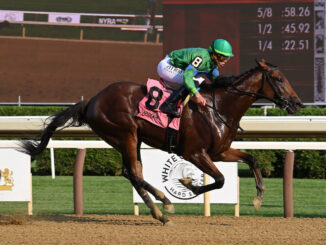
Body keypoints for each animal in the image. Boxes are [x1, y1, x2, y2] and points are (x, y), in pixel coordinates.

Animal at [20, 58, 302, 224]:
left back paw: (160, 209)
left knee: (131, 172)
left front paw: (258, 197)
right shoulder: (195, 153)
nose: (297, 103)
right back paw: (163, 205)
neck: (219, 107)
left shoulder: (220, 151)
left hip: (130, 139)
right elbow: (220, 180)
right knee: (133, 172)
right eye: (278, 79)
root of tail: (91, 101)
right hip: (125, 135)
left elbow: (252, 159)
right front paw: (188, 184)